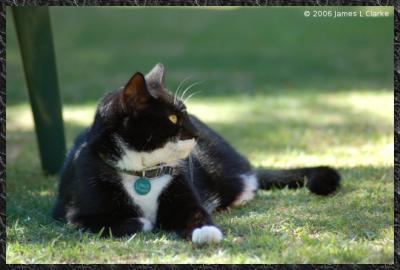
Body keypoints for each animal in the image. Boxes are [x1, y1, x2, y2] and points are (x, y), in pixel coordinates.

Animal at [52, 63, 340, 245]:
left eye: (186, 112)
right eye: (172, 118)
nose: (197, 132)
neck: (144, 172)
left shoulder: (183, 188)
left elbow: (194, 212)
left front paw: (205, 232)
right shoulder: (74, 215)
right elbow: (129, 222)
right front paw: (150, 221)